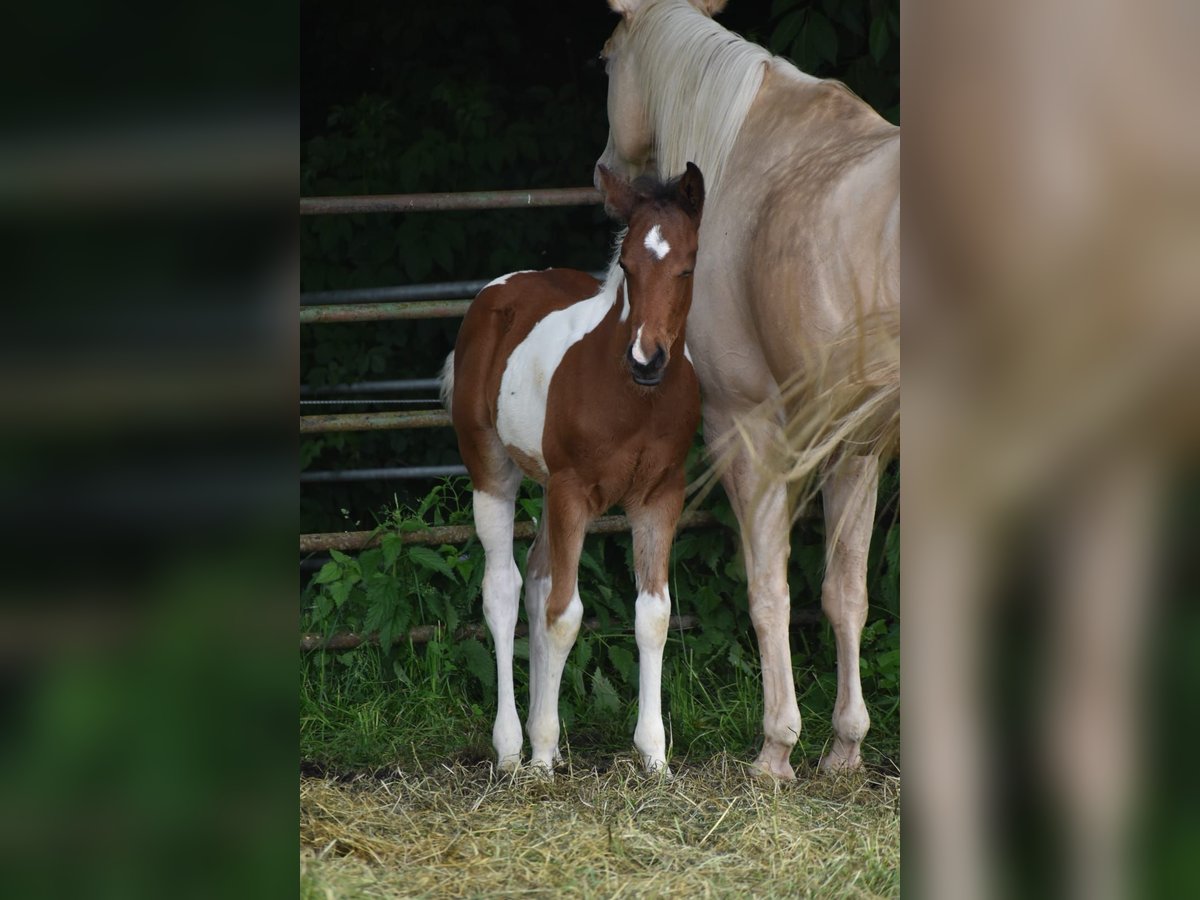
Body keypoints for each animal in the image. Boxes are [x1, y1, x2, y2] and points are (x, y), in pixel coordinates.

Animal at [440, 163, 705, 772]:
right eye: (626, 265)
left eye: (687, 265)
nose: (646, 359)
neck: (637, 400)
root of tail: (501, 289)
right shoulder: (572, 491)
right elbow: (565, 615)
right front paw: (539, 755)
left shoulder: (661, 495)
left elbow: (653, 614)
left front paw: (654, 755)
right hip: (493, 470)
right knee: (505, 590)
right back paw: (514, 748)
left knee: (537, 580)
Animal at [596, 0, 900, 778]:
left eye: (608, 60)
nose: (607, 170)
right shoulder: (854, 444)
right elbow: (844, 593)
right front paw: (845, 746)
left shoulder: (745, 428)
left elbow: (768, 591)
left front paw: (775, 748)